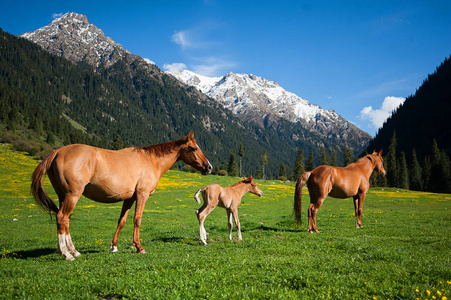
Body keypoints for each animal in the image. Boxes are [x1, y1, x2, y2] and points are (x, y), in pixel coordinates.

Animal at [31, 132, 212, 260]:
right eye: (194, 148)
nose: (209, 167)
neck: (150, 161)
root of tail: (57, 152)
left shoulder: (129, 199)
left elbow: (122, 221)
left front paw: (114, 246)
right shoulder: (142, 195)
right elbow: (137, 220)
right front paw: (139, 247)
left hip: (64, 196)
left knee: (65, 220)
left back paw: (73, 251)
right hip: (72, 196)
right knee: (62, 217)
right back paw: (66, 254)